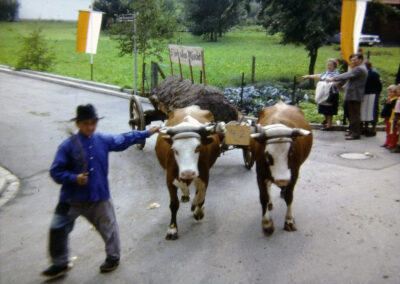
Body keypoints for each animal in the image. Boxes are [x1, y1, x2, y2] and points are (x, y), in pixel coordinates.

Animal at [155, 105, 223, 239]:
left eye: (198, 147)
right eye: (174, 150)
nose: (188, 173)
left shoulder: (204, 175)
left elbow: (200, 197)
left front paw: (198, 211)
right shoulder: (169, 179)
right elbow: (174, 204)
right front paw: (172, 229)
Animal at [250, 101, 312, 234]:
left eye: (291, 153)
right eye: (267, 155)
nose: (282, 180)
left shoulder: (294, 174)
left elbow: (289, 196)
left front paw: (289, 220)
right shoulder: (260, 173)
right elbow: (263, 197)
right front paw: (267, 223)